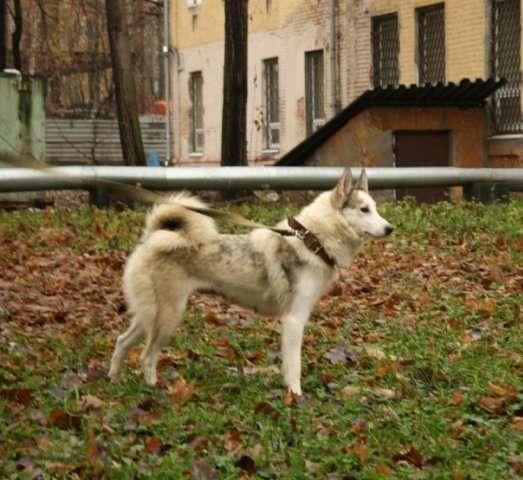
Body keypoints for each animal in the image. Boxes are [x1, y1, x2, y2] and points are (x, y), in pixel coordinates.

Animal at [108, 169, 392, 394]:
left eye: (376, 208)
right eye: (364, 209)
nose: (390, 228)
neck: (313, 240)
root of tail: (153, 238)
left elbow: (287, 366)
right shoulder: (294, 321)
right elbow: (295, 367)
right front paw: (296, 397)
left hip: (149, 315)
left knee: (122, 341)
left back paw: (114, 380)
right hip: (168, 316)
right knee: (147, 357)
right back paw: (154, 390)